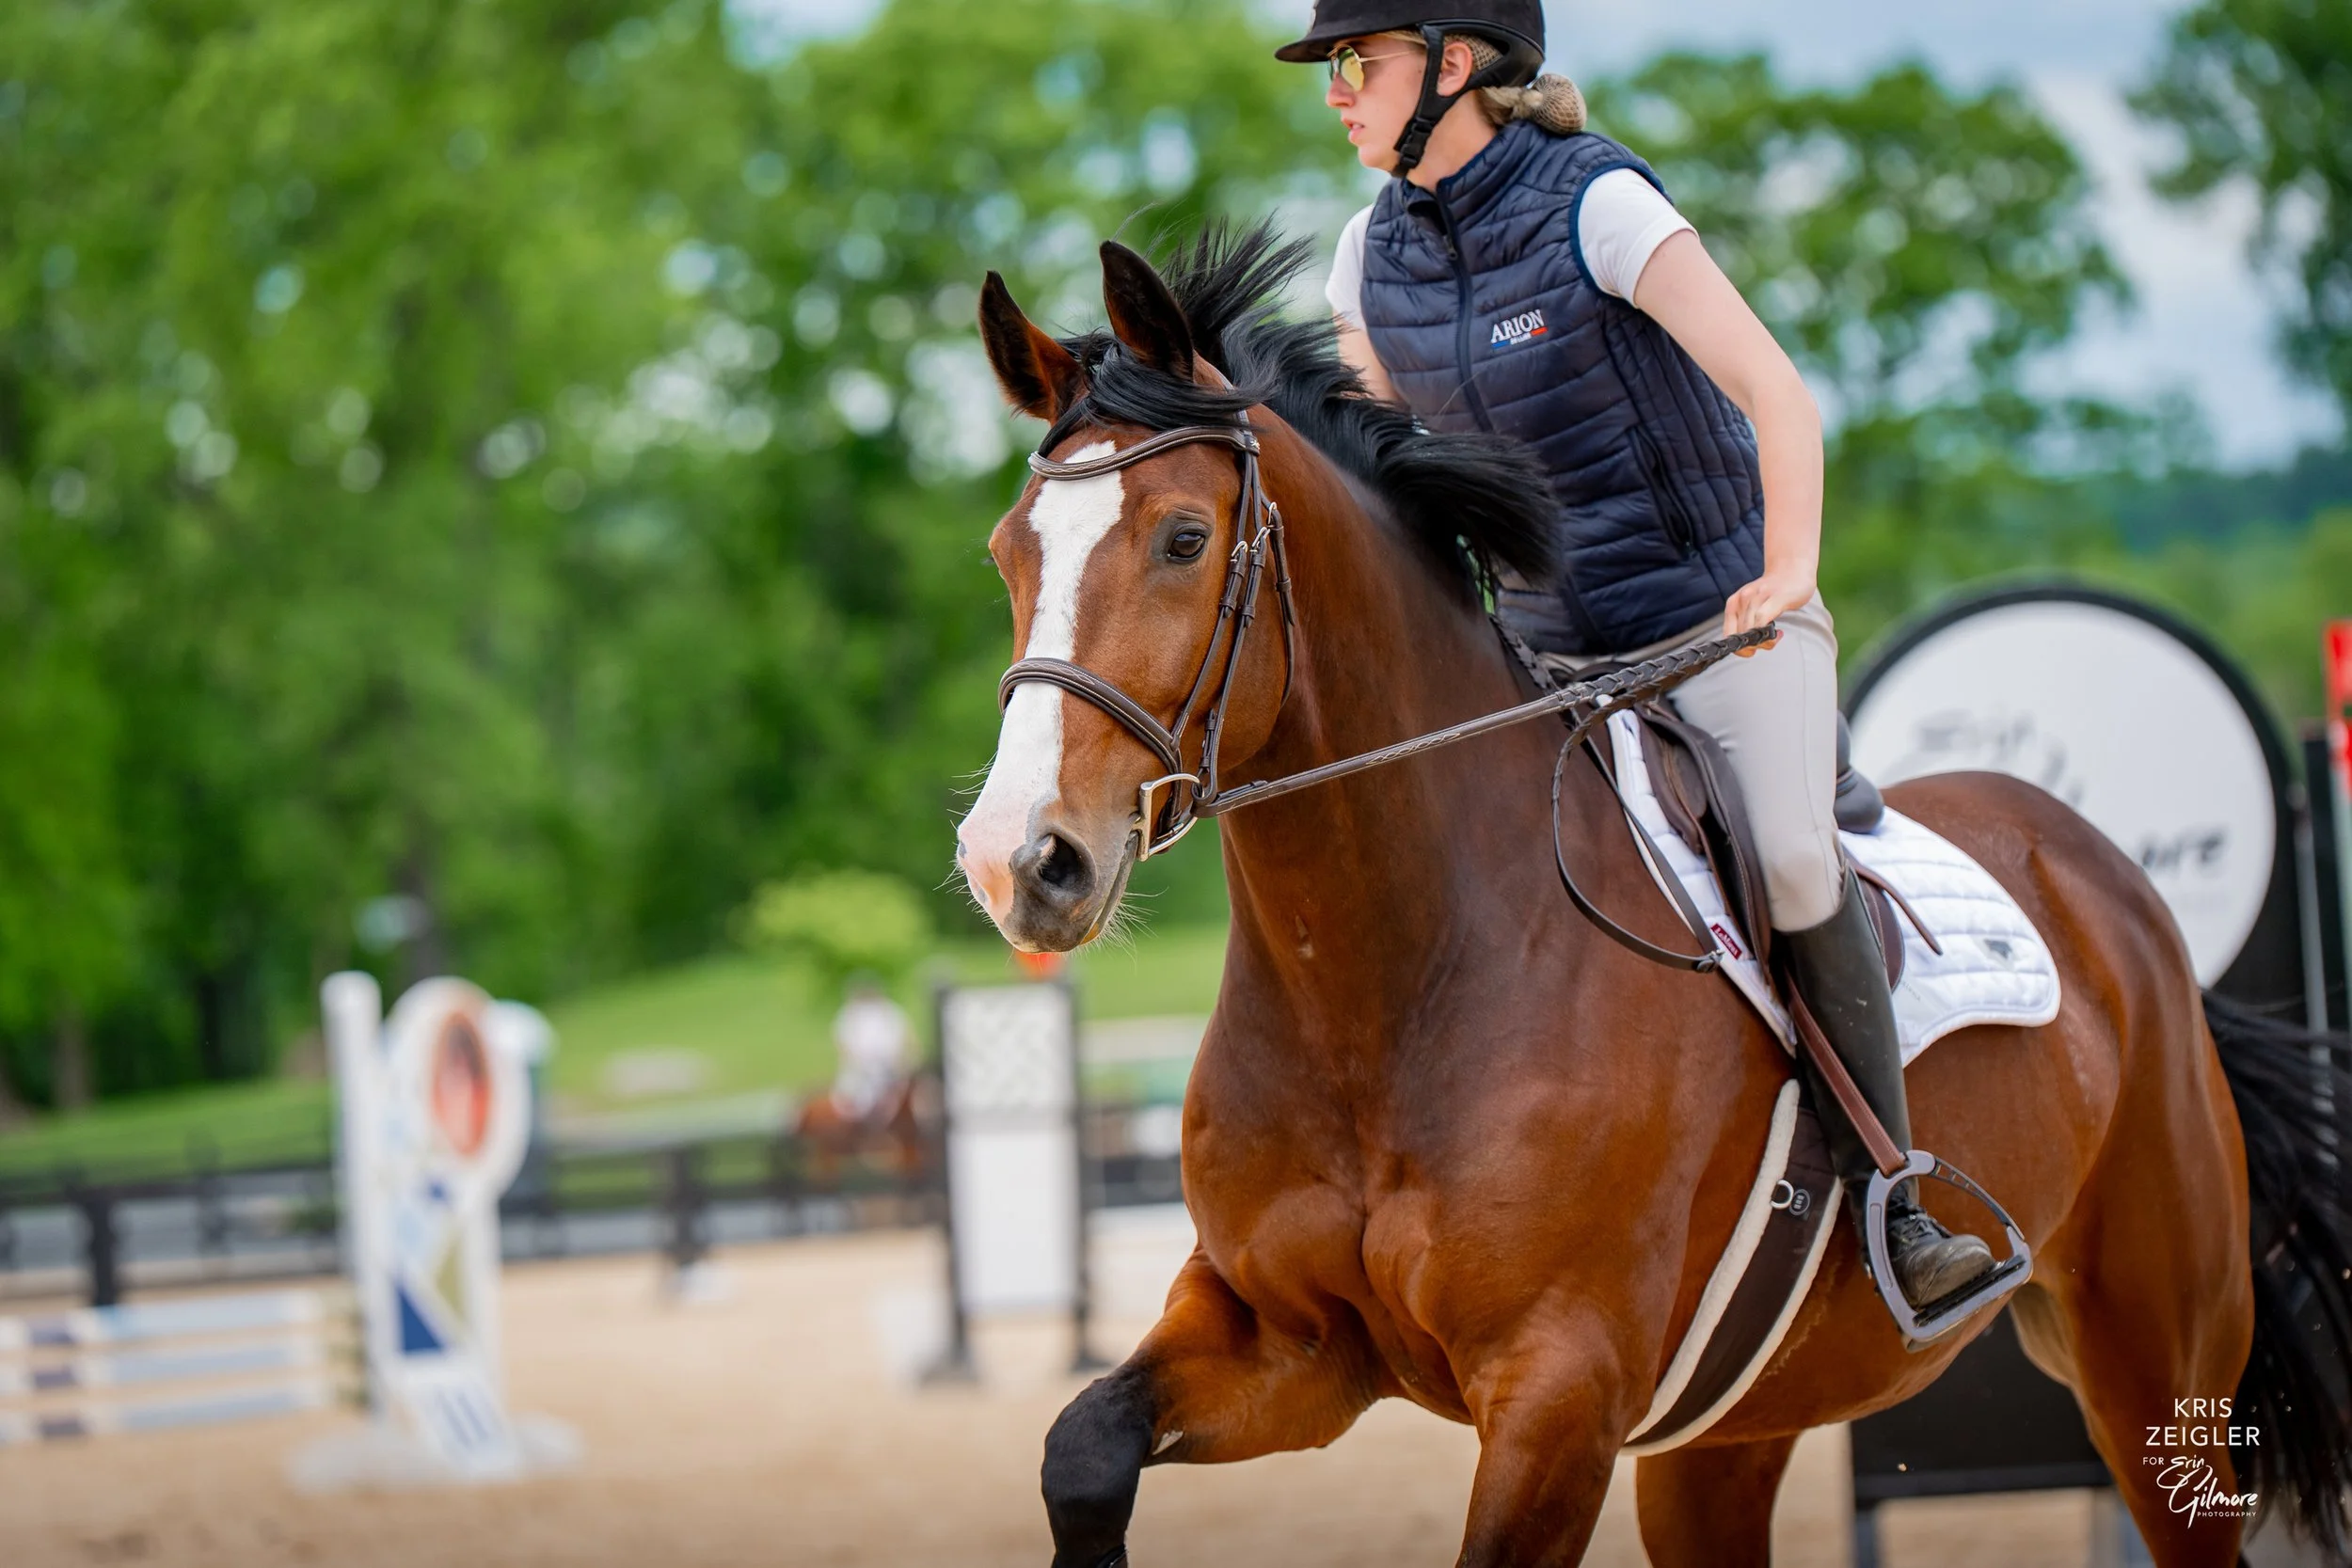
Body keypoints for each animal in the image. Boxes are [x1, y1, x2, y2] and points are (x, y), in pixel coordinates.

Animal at [951, 223, 2352, 1567]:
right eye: (1005, 555)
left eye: (1184, 539)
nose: (1021, 858)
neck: (1388, 976)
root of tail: (2108, 879)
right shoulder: (1287, 1342)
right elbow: (1082, 1447)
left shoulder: (1557, 1390)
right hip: (1732, 1427)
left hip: (2151, 1361)